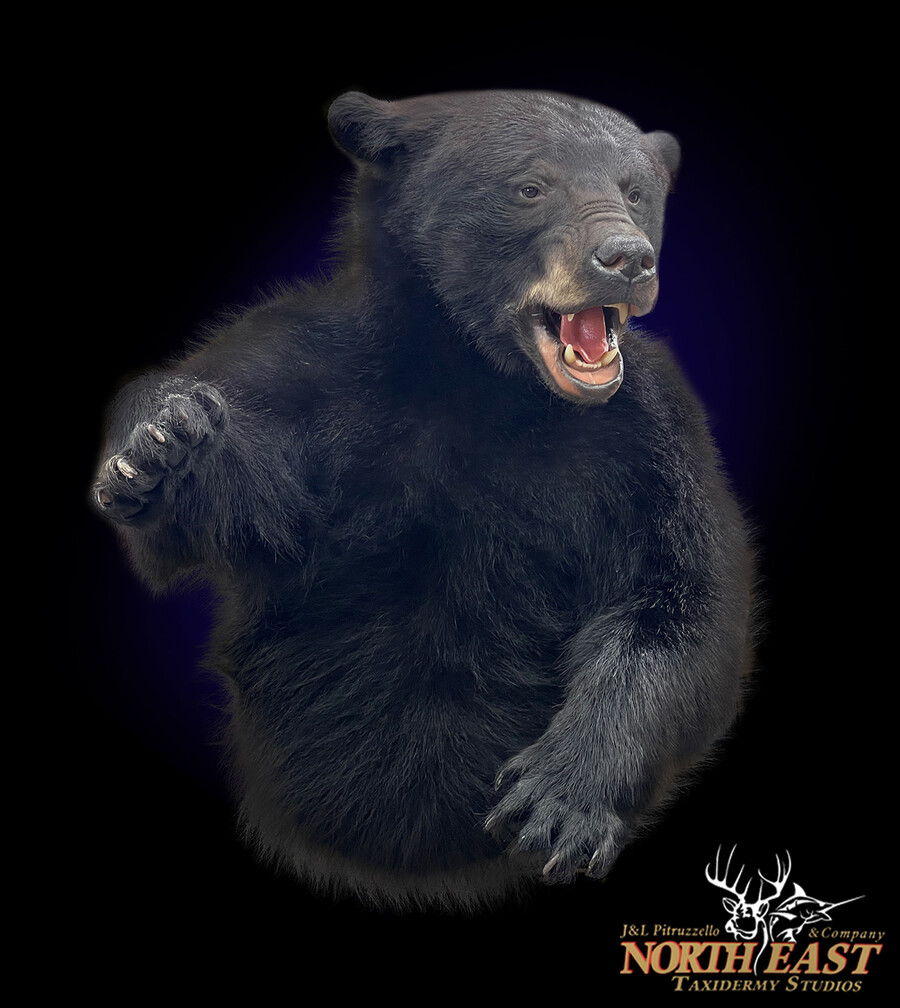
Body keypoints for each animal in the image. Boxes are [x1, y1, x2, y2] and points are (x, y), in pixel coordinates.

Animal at [92, 90, 755, 912]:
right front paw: (162, 442)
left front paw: (557, 801)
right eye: (530, 187)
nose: (626, 258)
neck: (478, 379)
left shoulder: (649, 435)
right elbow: (224, 500)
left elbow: (680, 593)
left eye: (636, 190)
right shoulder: (306, 376)